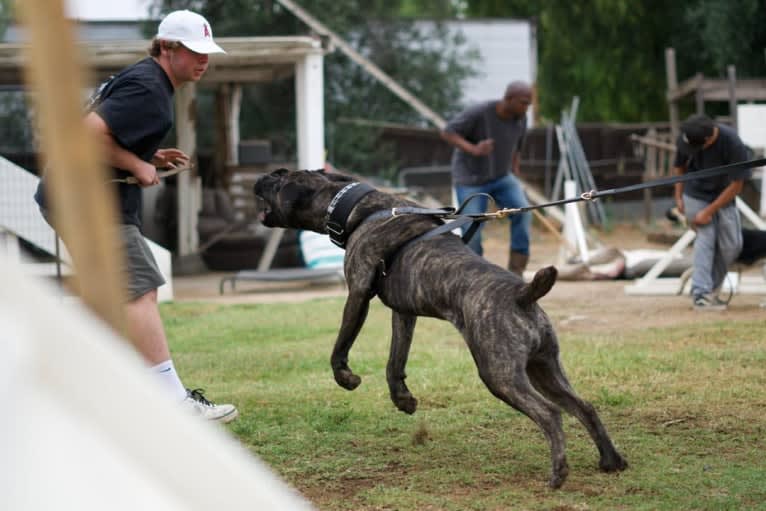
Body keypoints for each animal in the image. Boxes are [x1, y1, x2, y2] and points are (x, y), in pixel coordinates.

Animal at [255, 168, 628, 488]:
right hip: (544, 369)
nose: (260, 177)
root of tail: (523, 294)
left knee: (550, 414)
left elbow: (340, 346)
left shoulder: (358, 292)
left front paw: (345, 377)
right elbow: (395, 361)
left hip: (501, 376)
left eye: (279, 177)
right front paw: (403, 400)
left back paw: (559, 473)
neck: (361, 208)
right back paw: (611, 461)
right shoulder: (403, 313)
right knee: (584, 407)